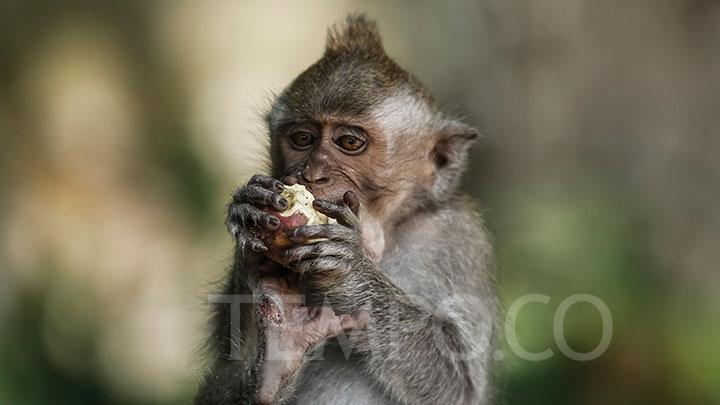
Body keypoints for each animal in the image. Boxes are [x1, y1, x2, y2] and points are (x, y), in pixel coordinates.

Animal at [196, 14, 498, 404]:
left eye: (350, 142)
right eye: (302, 139)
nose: (312, 174)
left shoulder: (455, 236)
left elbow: (458, 384)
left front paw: (350, 272)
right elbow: (223, 364)